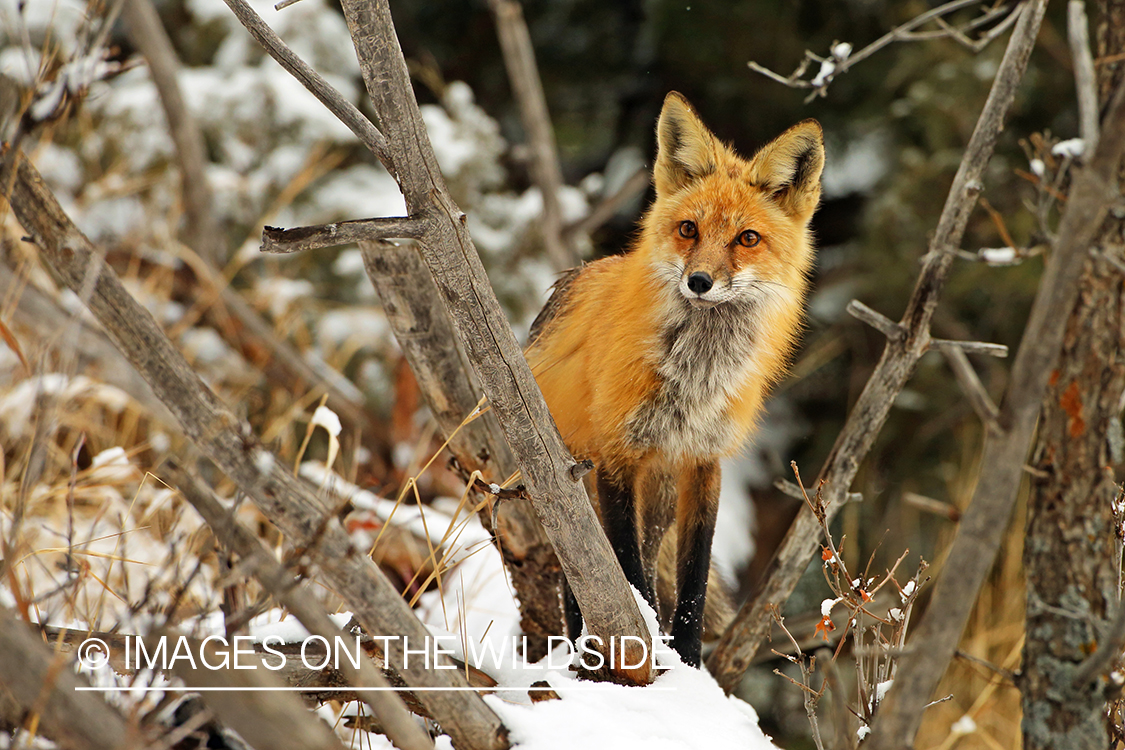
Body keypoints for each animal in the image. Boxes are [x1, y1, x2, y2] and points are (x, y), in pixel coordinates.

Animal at [526, 92, 828, 670]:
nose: (700, 281)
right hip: (574, 488)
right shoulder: (616, 454)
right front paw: (644, 640)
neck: (695, 380)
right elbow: (626, 568)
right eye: (689, 229)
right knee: (581, 580)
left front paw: (687, 663)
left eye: (747, 238)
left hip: (660, 495)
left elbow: (692, 580)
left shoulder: (704, 461)